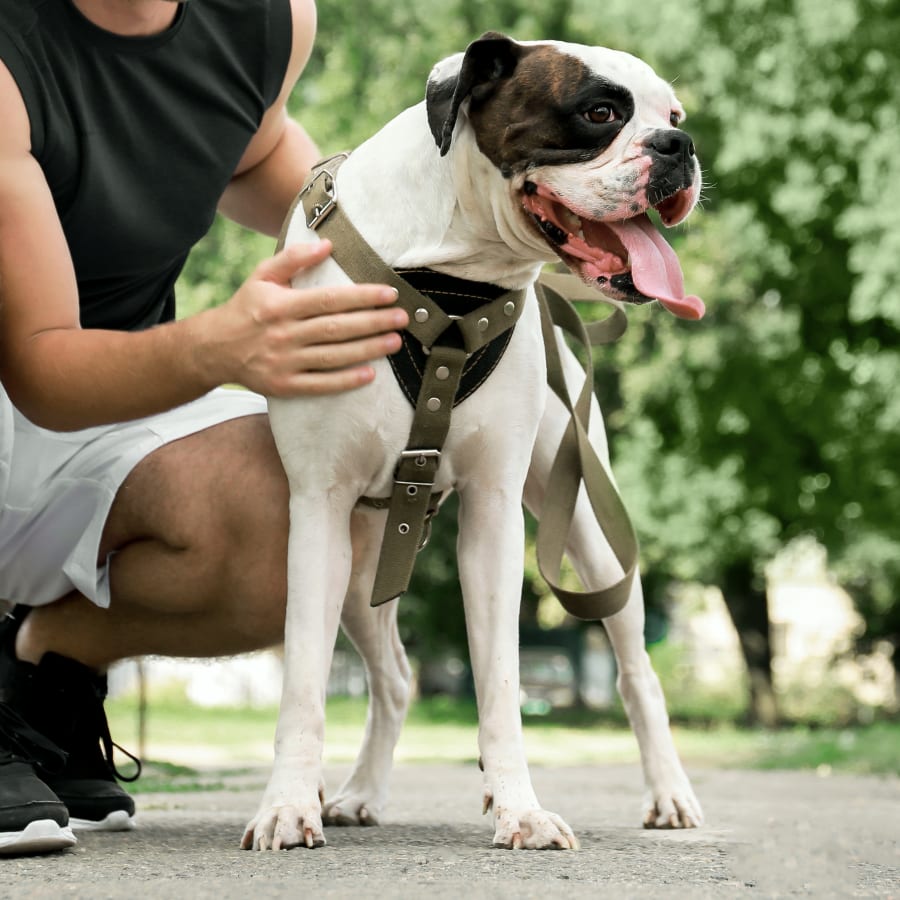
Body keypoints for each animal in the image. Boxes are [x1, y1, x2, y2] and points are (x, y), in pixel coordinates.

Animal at [243, 33, 708, 852]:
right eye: (600, 112)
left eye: (674, 115)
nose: (679, 145)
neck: (449, 274)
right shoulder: (318, 510)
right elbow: (302, 683)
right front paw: (289, 806)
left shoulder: (493, 515)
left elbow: (500, 682)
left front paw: (520, 808)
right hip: (360, 562)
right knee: (394, 678)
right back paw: (360, 793)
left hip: (590, 536)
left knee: (637, 673)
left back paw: (669, 794)